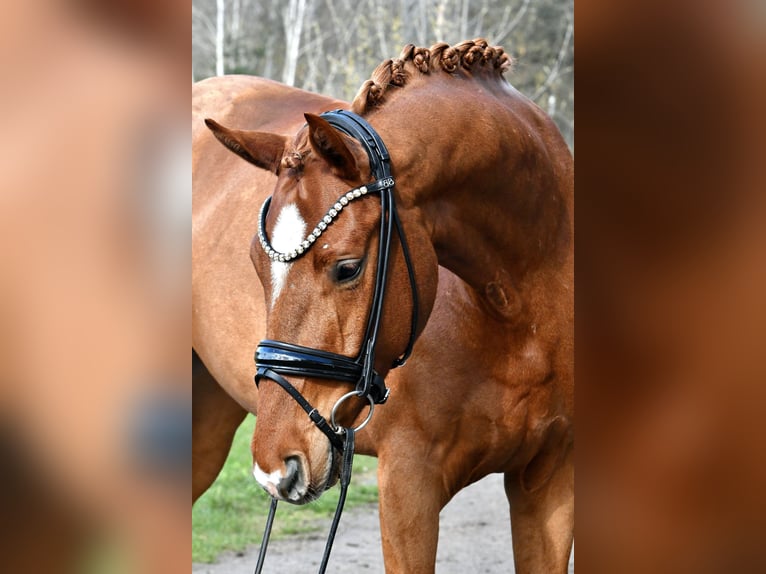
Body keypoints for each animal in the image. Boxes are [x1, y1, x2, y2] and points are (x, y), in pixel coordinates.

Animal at [192, 39, 573, 573]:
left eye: (347, 267)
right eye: (254, 262)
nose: (276, 469)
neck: (522, 316)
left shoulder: (550, 480)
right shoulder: (408, 487)